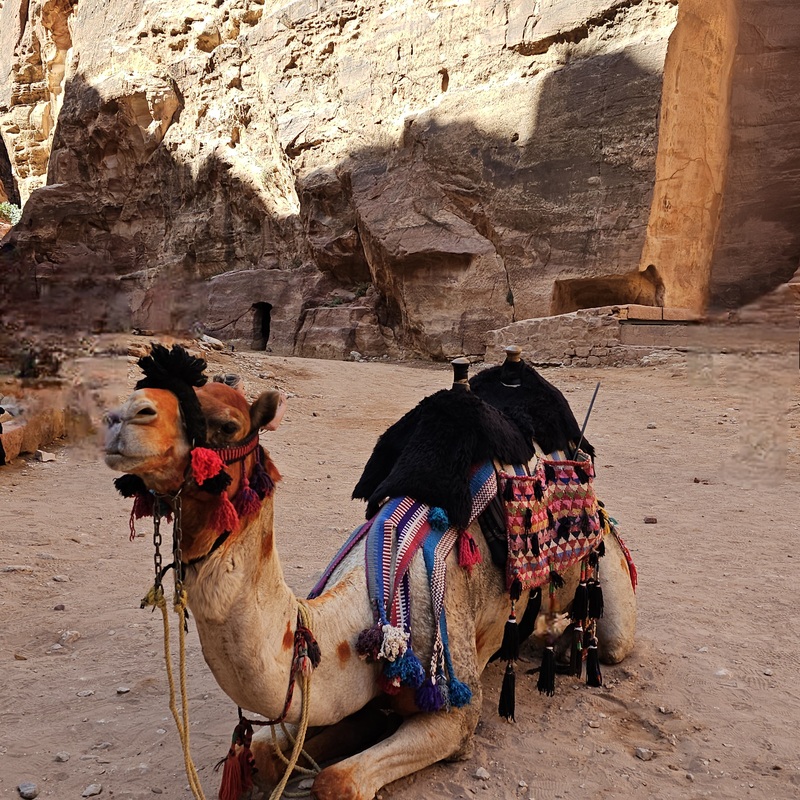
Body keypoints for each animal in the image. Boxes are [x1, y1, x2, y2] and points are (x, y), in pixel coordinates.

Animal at [104, 346, 636, 800]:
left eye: (228, 423)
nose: (121, 416)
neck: (372, 608)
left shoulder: (454, 709)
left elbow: (337, 781)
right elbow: (267, 753)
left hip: (604, 569)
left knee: (611, 641)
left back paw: (568, 648)